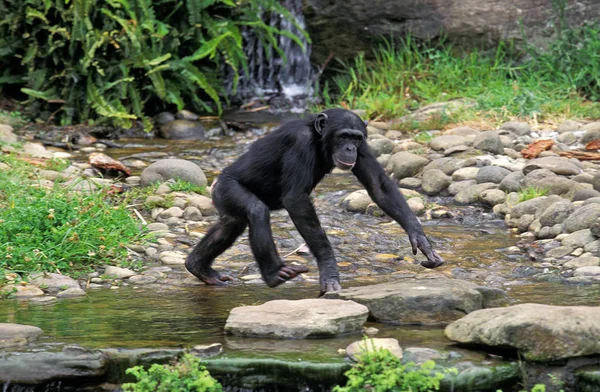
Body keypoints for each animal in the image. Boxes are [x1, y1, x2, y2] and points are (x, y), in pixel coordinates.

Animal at [185, 108, 442, 294]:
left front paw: (421, 239)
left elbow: (379, 186)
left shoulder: (365, 148)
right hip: (227, 188)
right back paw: (274, 274)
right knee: (256, 211)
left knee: (230, 225)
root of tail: (217, 182)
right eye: (343, 136)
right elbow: (296, 198)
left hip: (224, 200)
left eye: (356, 138)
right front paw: (329, 269)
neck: (320, 140)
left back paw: (199, 267)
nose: (350, 148)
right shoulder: (300, 143)